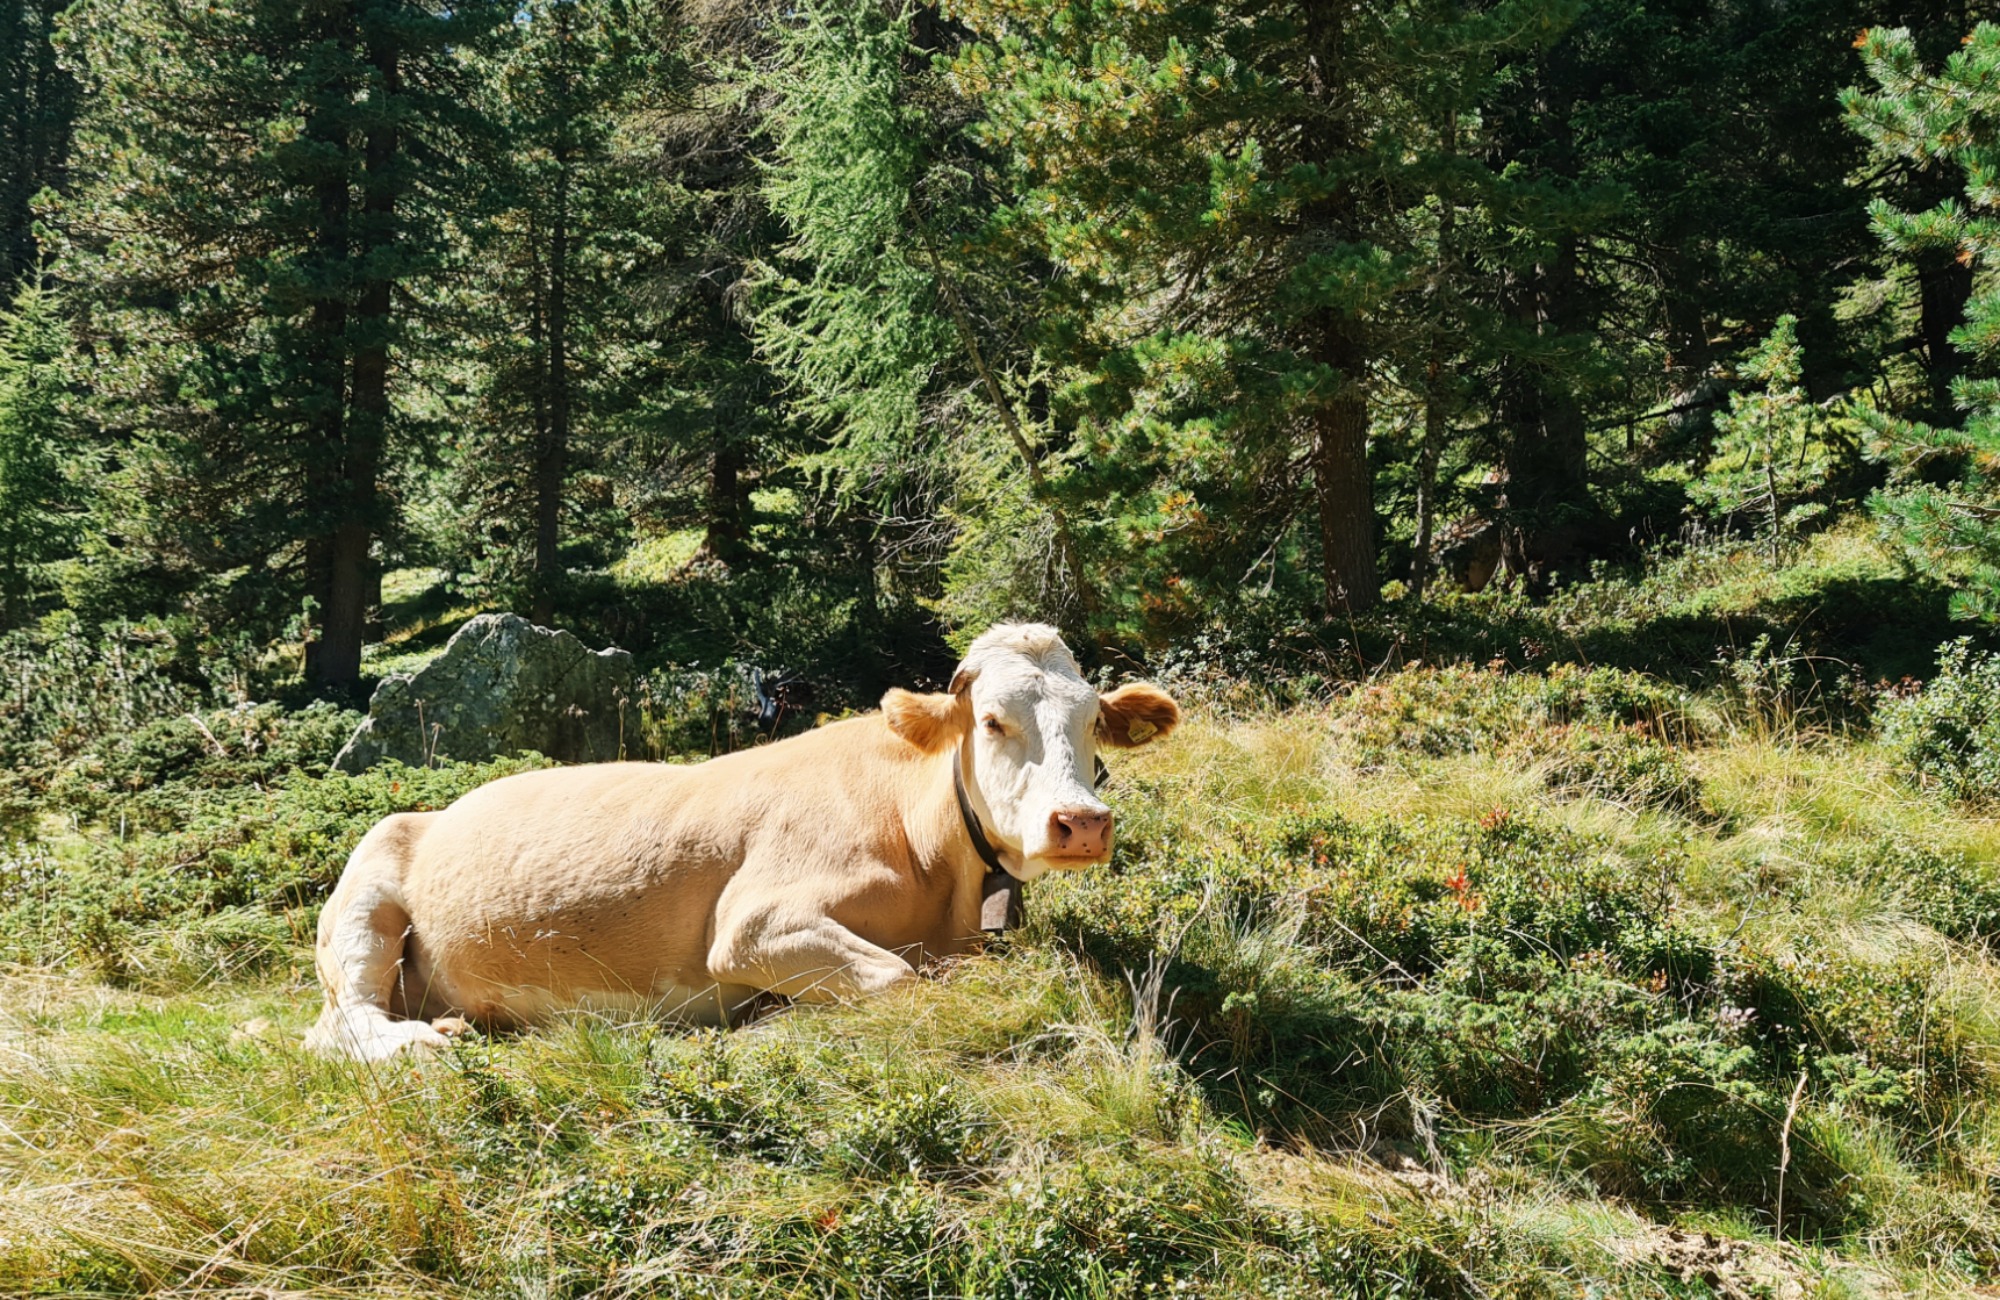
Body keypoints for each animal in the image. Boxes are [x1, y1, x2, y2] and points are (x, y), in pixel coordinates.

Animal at [304, 623, 1180, 1060]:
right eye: (994, 721)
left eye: (1092, 720)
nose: (1081, 822)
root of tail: (428, 812)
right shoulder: (754, 922)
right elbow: (897, 978)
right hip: (365, 900)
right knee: (342, 1026)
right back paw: (428, 1043)